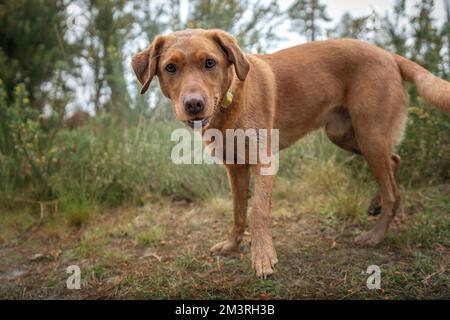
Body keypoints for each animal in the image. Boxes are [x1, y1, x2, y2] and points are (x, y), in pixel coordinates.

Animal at [133, 28, 450, 278]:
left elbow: (258, 211)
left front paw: (262, 258)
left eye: (209, 63)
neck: (230, 101)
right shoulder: (235, 167)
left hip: (369, 135)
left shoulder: (263, 161)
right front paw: (233, 245)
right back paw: (376, 204)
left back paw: (375, 235)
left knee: (392, 190)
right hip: (345, 136)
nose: (194, 104)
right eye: (171, 68)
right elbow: (238, 211)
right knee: (393, 162)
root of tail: (388, 55)